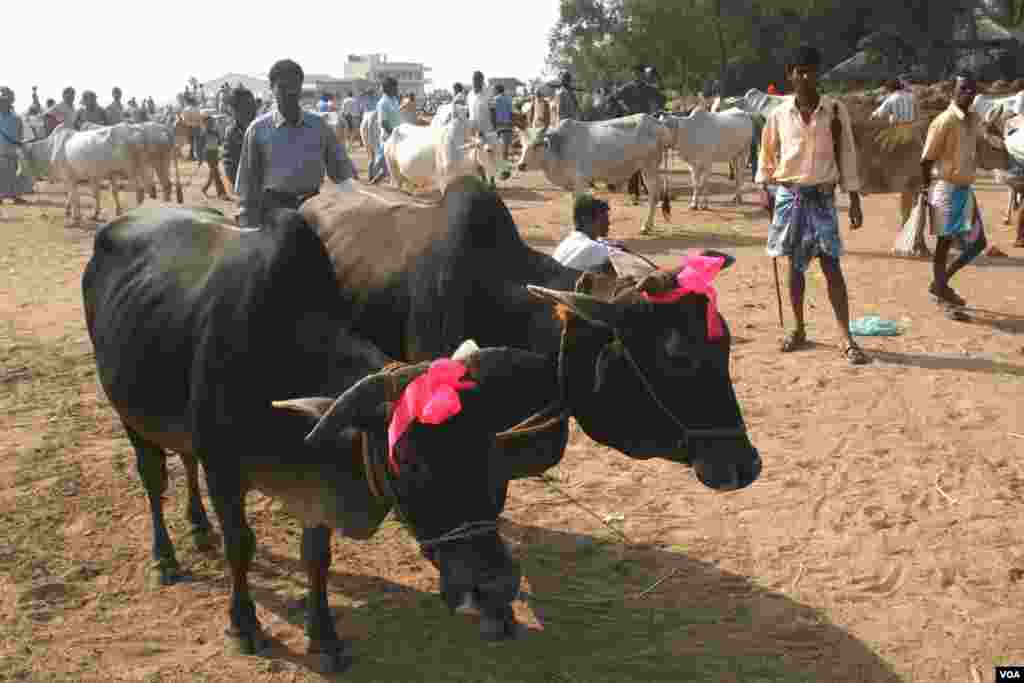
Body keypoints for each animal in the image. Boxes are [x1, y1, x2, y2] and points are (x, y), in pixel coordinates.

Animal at [83, 205, 539, 671]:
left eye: (491, 453)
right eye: (409, 460)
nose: (497, 587)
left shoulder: (313, 485)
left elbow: (316, 558)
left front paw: (325, 637)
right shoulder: (223, 470)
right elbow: (240, 545)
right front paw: (244, 624)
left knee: (184, 460)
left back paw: (198, 525)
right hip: (128, 415)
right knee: (153, 480)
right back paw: (165, 557)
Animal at [515, 115, 674, 234]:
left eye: (537, 144)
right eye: (522, 144)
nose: (521, 165)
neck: (559, 147)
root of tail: (657, 123)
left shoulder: (580, 183)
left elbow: (577, 205)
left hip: (649, 167)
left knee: (654, 195)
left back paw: (646, 227)